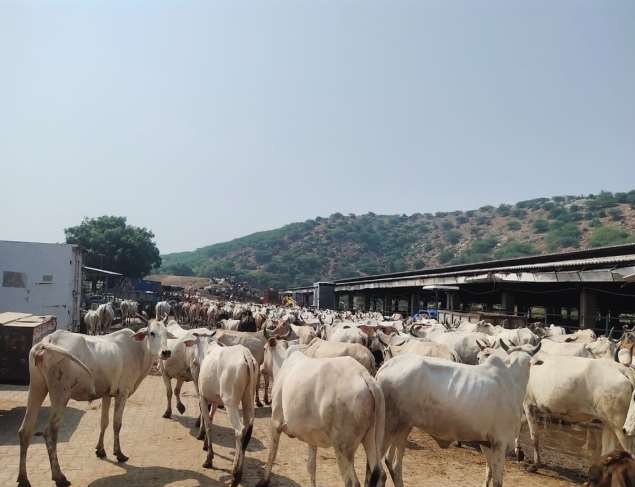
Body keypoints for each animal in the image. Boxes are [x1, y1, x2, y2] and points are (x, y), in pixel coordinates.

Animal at [18, 318, 175, 487]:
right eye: (152, 333)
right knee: (50, 432)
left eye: (166, 333)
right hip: (60, 394)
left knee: (25, 430)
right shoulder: (123, 392)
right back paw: (59, 476)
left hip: (37, 387)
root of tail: (47, 341)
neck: (138, 350)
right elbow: (117, 424)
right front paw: (119, 453)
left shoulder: (107, 394)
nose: (166, 352)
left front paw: (100, 450)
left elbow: (104, 422)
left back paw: (23, 479)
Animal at [256, 342, 386, 487]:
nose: (261, 368)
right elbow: (311, 467)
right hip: (371, 438)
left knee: (352, 482)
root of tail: (364, 376)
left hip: (342, 447)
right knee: (381, 474)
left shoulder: (275, 422)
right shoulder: (311, 437)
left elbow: (272, 453)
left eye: (264, 349)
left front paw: (263, 481)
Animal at [378, 344, 540, 487]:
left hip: (404, 426)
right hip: (388, 427)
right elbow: (497, 481)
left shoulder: (487, 443)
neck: (513, 383)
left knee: (393, 464)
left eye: (529, 364)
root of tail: (386, 366)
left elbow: (488, 473)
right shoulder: (500, 443)